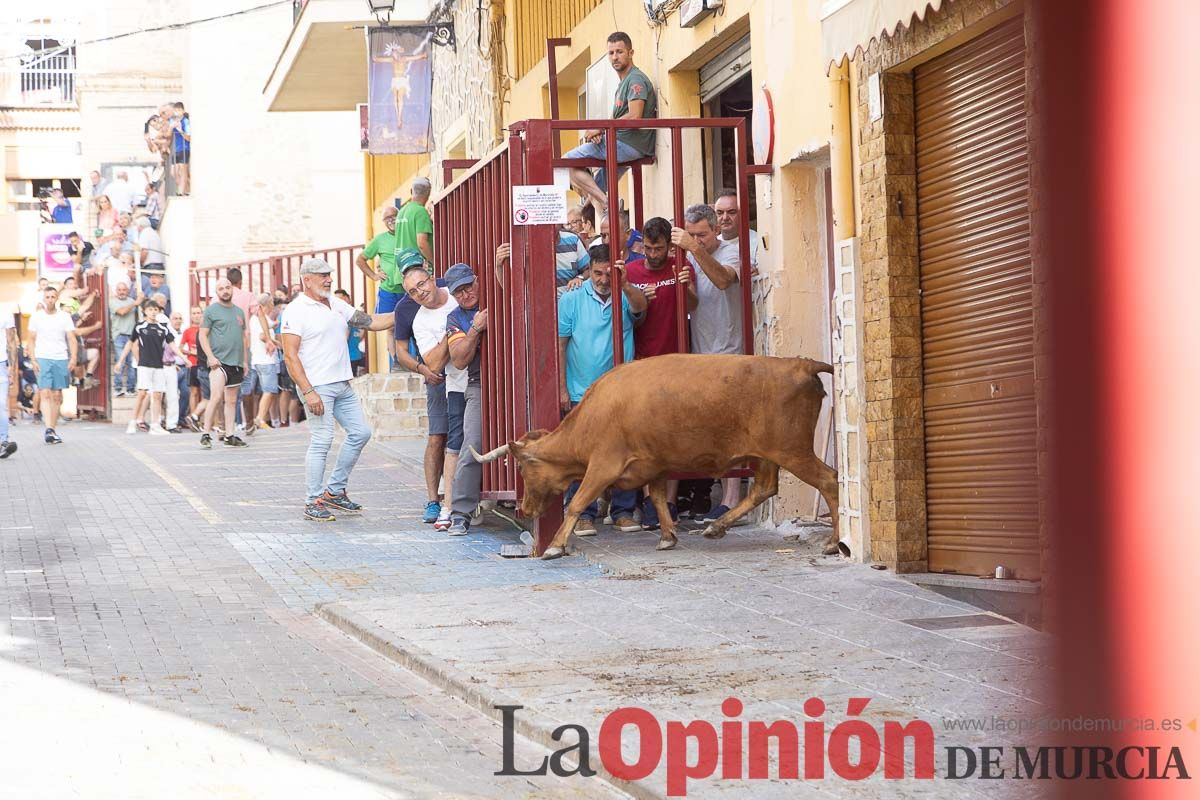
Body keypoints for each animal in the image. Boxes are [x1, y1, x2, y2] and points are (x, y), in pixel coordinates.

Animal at [472, 352, 840, 561]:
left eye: (524, 469)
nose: (525, 508)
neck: (595, 414)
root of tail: (801, 364)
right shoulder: (656, 466)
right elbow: (660, 499)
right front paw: (667, 537)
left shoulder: (602, 467)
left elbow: (577, 503)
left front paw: (555, 546)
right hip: (766, 453)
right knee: (764, 488)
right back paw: (716, 527)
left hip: (792, 450)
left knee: (830, 480)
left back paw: (834, 543)